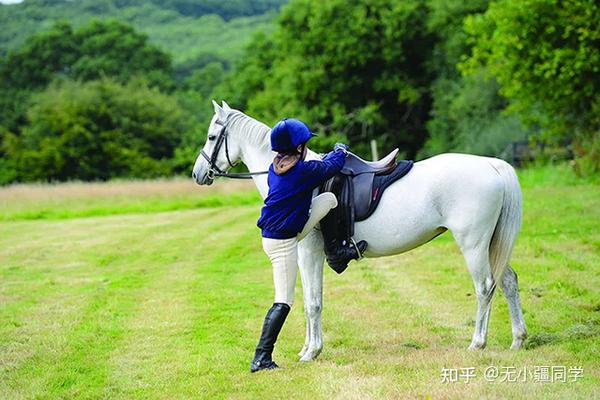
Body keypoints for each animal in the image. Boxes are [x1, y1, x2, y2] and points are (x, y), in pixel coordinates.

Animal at [193, 101, 528, 360]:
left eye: (212, 136)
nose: (198, 173)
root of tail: (493, 166)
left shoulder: (310, 253)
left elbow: (313, 303)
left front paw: (312, 352)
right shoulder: (301, 254)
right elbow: (308, 301)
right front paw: (307, 348)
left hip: (473, 244)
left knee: (485, 286)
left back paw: (477, 343)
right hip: (491, 243)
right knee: (508, 281)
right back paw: (517, 339)